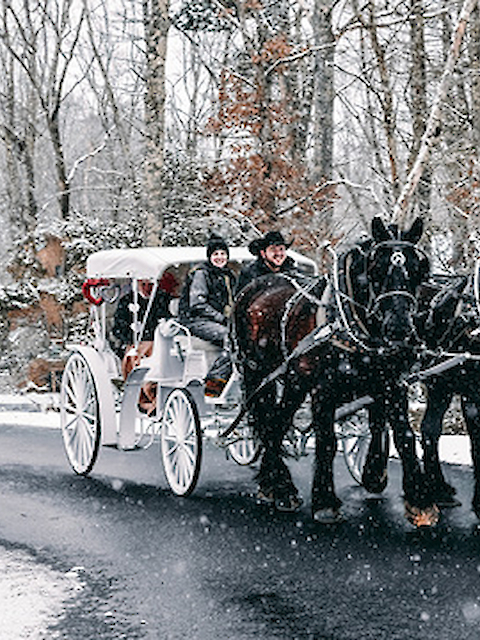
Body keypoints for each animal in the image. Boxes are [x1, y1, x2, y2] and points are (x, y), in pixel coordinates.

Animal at [232, 218, 438, 528]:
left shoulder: (391, 384)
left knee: (277, 422)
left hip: (294, 379)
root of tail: (253, 287)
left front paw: (420, 502)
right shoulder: (323, 389)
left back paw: (275, 485)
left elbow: (403, 436)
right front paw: (325, 502)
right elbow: (327, 441)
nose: (399, 328)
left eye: (418, 270)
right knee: (269, 422)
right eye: (376, 269)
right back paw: (282, 487)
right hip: (258, 372)